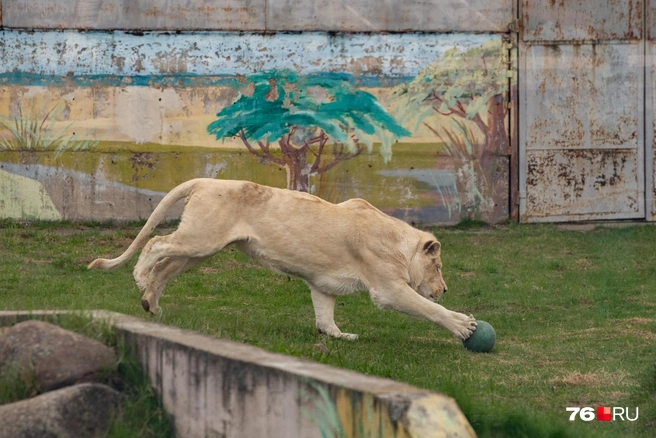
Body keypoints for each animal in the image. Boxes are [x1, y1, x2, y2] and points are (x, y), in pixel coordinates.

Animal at [89, 178, 476, 340]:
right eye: (438, 266)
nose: (444, 288)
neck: (399, 241)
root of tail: (204, 180)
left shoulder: (323, 284)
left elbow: (325, 316)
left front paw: (341, 336)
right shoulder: (388, 288)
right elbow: (428, 309)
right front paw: (464, 326)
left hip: (203, 248)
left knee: (166, 266)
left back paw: (151, 304)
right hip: (199, 239)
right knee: (155, 244)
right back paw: (140, 278)